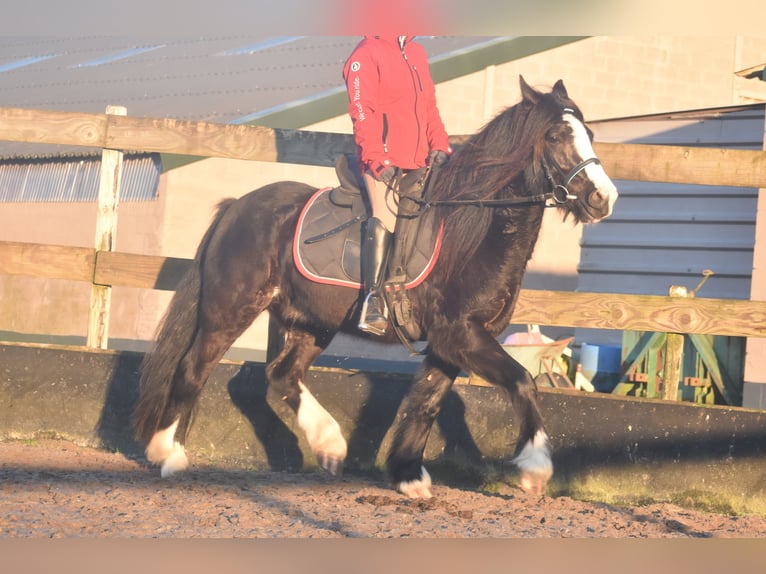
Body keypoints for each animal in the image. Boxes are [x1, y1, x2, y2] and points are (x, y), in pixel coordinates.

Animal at [135, 77, 620, 500]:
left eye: (590, 133)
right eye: (556, 135)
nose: (603, 199)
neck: (471, 232)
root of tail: (238, 207)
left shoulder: (449, 343)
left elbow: (426, 402)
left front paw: (408, 475)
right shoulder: (462, 333)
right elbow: (522, 381)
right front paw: (535, 469)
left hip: (311, 322)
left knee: (282, 374)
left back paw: (329, 445)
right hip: (229, 311)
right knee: (192, 370)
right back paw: (167, 454)